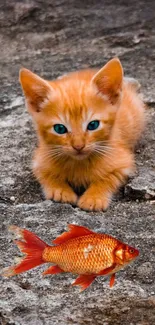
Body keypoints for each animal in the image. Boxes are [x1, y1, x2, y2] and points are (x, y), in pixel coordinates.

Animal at [19, 57, 145, 210]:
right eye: (60, 129)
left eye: (93, 125)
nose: (78, 146)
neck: (79, 163)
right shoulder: (39, 160)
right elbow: (46, 175)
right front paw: (60, 191)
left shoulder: (123, 162)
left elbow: (109, 178)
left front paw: (94, 197)